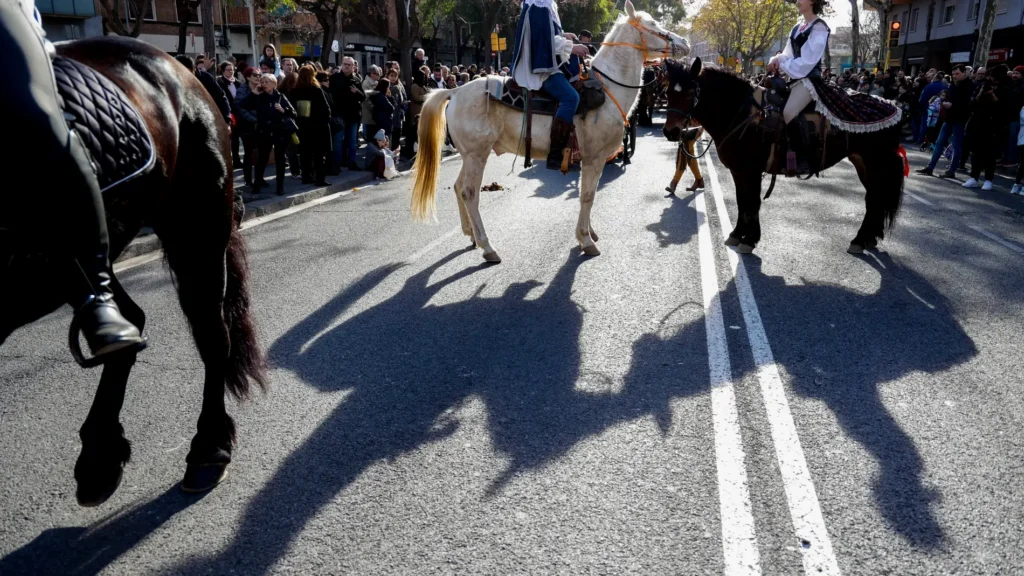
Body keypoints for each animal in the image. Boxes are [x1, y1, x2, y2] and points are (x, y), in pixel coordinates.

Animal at [0, 36, 268, 502]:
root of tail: (181, 70)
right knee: (128, 322)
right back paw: (100, 459)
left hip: (195, 232)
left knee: (212, 335)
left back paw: (207, 449)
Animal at [407, 1, 688, 261]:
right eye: (652, 24)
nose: (684, 42)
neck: (608, 90)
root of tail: (454, 91)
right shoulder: (594, 158)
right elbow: (587, 195)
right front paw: (586, 240)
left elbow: (587, 194)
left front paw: (589, 232)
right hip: (477, 155)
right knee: (469, 193)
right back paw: (488, 247)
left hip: (469, 156)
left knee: (457, 187)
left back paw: (471, 235)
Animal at [659, 58, 909, 253]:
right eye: (668, 91)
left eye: (690, 92)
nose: (670, 132)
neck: (741, 112)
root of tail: (894, 105)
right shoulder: (739, 172)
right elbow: (742, 202)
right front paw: (737, 234)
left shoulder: (750, 171)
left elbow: (751, 202)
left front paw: (750, 239)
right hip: (863, 163)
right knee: (874, 198)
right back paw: (868, 238)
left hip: (876, 163)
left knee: (875, 198)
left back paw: (860, 239)